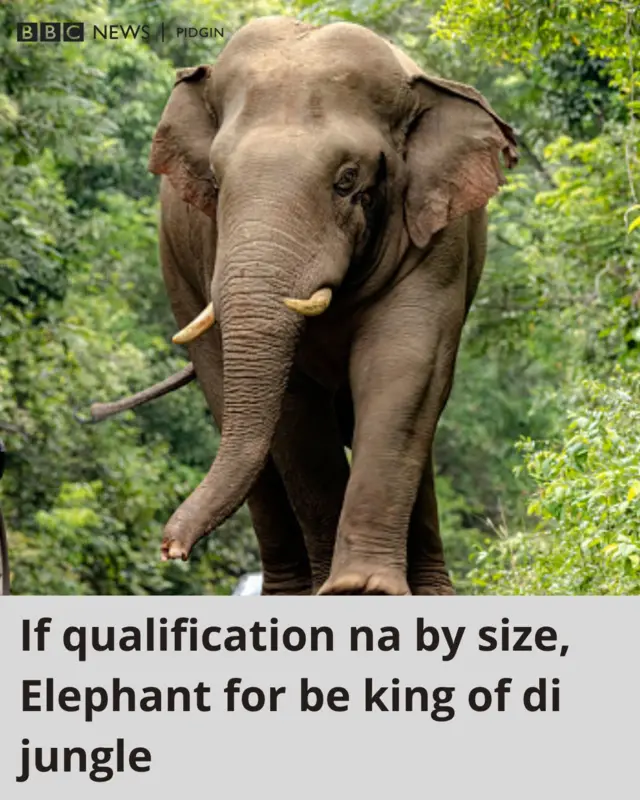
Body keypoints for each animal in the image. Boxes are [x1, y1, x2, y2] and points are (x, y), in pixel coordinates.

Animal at [89, 16, 518, 596]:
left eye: (347, 180)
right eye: (216, 180)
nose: (170, 548)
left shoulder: (439, 236)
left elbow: (404, 365)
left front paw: (363, 590)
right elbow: (295, 405)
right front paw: (336, 593)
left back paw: (431, 590)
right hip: (177, 274)